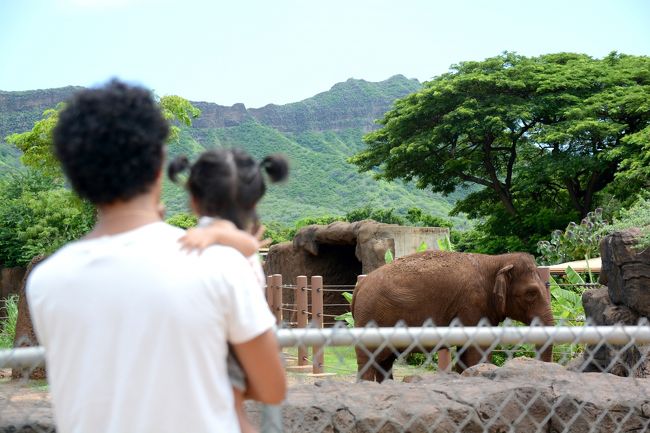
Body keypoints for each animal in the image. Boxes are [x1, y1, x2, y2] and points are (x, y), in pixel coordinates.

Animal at [350, 248, 552, 380]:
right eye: (531, 293)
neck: (496, 261)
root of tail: (359, 286)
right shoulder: (472, 304)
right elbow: (476, 351)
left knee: (384, 362)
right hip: (370, 317)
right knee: (368, 361)